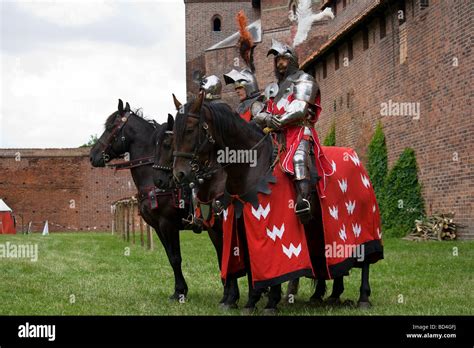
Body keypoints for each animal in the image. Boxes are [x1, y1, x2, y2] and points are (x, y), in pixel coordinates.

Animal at [89, 99, 235, 304]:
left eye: (110, 127)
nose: (92, 155)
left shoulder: (168, 224)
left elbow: (175, 258)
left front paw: (181, 292)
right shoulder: (158, 227)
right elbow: (169, 256)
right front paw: (178, 290)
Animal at [172, 93, 380, 312]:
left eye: (190, 130)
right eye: (173, 133)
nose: (179, 174)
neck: (252, 165)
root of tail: (357, 161)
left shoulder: (270, 226)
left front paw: (269, 301)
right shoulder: (239, 225)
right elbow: (247, 263)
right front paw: (249, 300)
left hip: (360, 222)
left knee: (365, 260)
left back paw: (363, 297)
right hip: (318, 227)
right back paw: (327, 295)